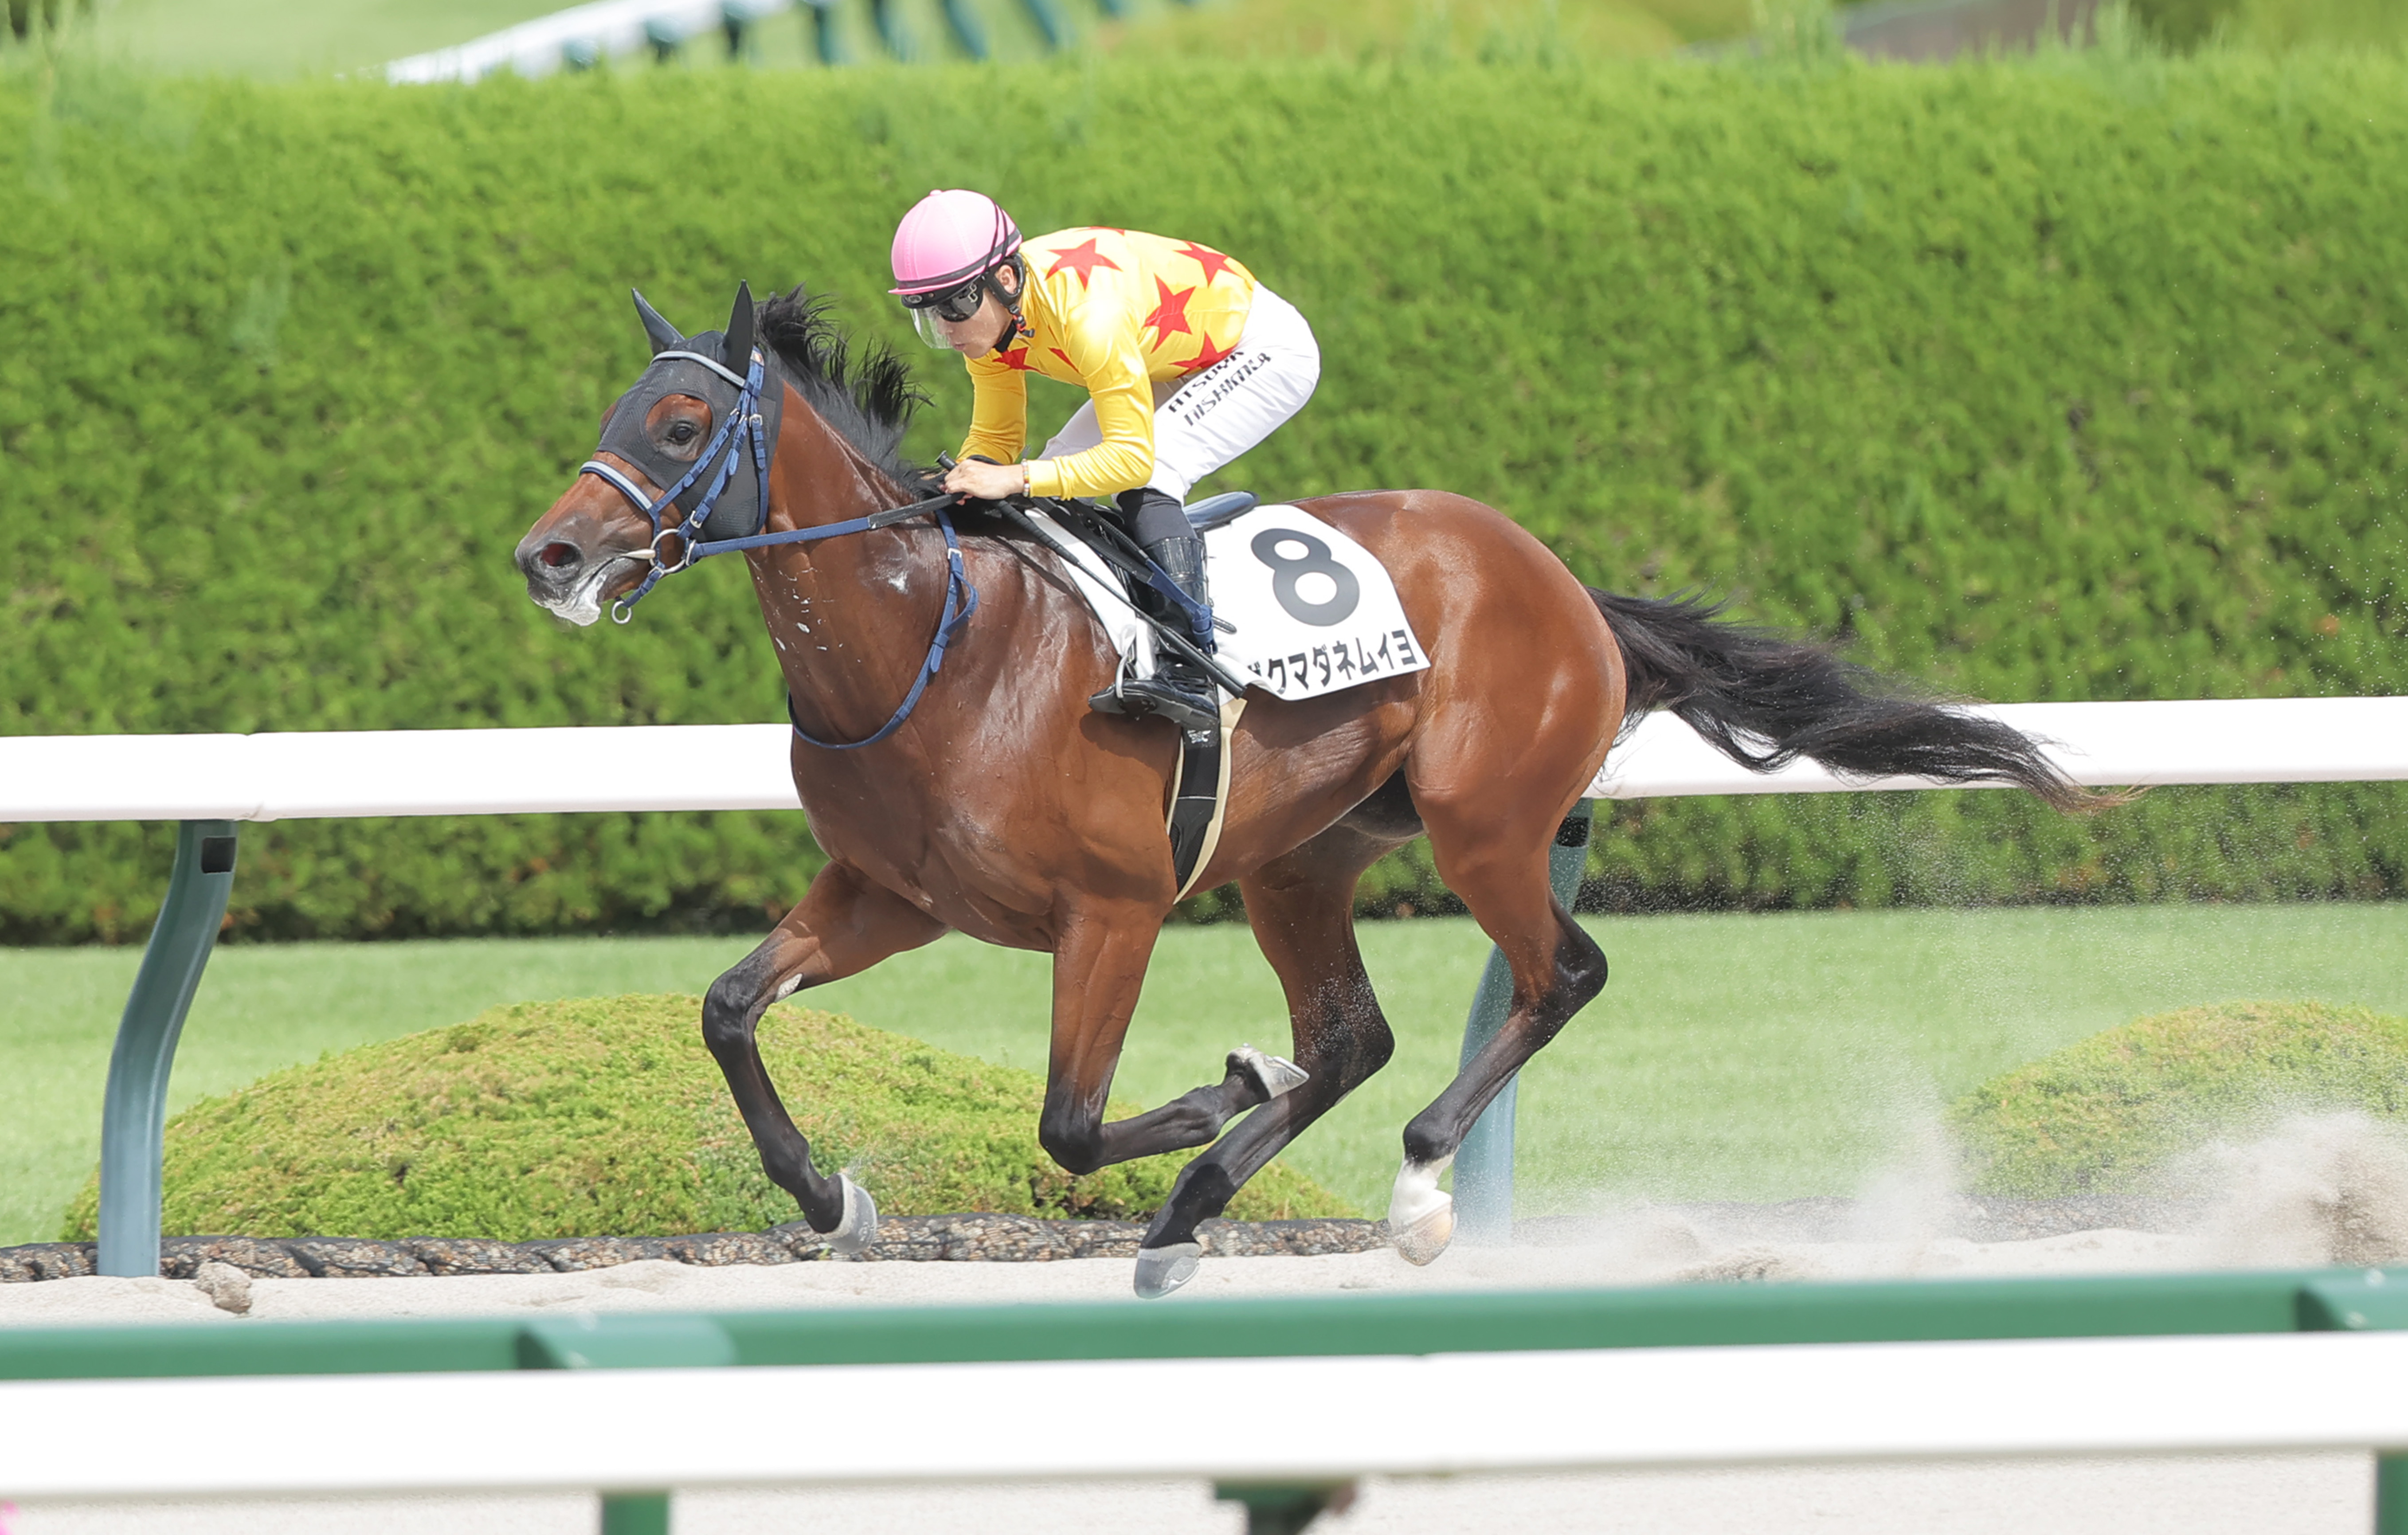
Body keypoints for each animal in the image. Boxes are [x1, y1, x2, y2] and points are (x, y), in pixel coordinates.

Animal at [514, 283, 2089, 1298]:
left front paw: (1221, 1088)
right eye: (621, 408)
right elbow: (728, 1009)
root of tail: (1562, 581)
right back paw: (1198, 1206)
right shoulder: (892, 893)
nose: (547, 554)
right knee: (1356, 1035)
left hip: (1484, 819)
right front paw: (828, 1196)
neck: (935, 643)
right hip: (1300, 856)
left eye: (675, 423)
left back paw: (1410, 1191)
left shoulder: (1115, 908)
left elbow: (1068, 1123)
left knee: (1555, 975)